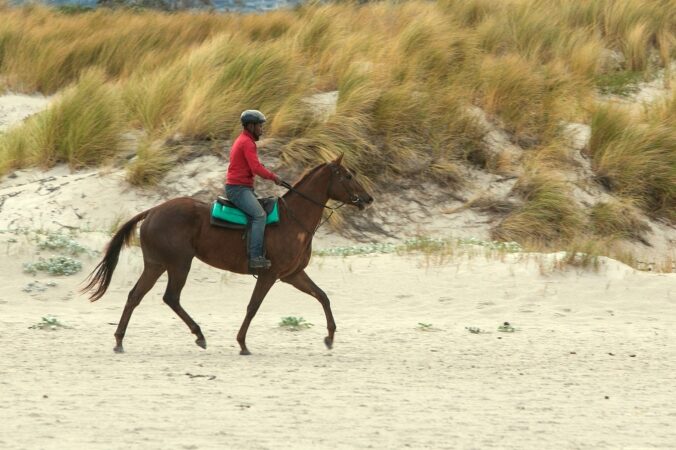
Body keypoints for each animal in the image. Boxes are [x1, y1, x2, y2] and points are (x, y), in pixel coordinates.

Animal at [83, 156, 374, 356]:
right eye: (348, 176)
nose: (368, 198)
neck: (294, 220)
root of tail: (153, 210)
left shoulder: (293, 275)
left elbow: (322, 296)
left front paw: (330, 337)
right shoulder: (269, 275)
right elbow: (253, 307)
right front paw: (242, 343)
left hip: (156, 265)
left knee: (135, 296)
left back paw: (120, 340)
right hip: (179, 264)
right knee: (171, 297)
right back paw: (198, 334)